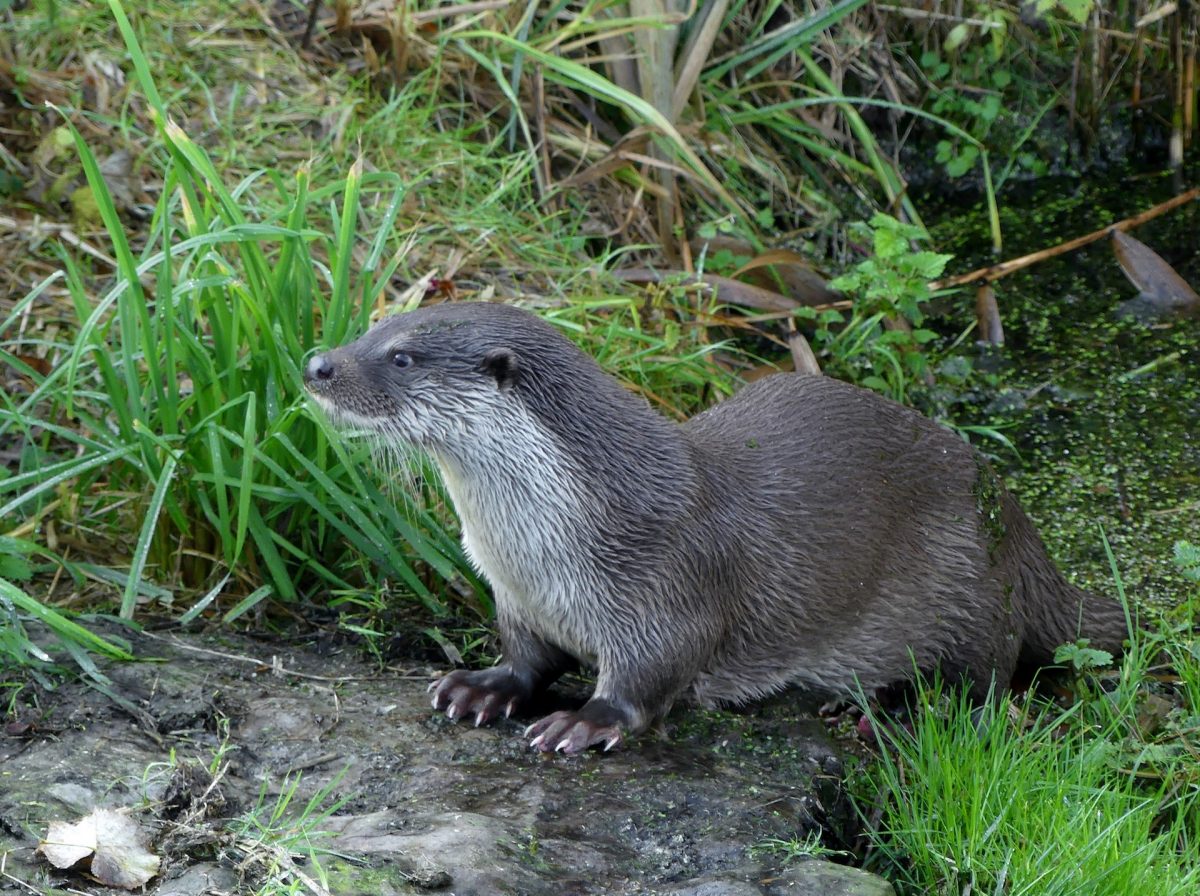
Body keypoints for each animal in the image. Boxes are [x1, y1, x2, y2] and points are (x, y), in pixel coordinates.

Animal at [304, 303, 1128, 758]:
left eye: (402, 356)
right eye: (374, 326)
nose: (316, 364)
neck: (546, 543)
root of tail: (1011, 516)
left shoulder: (669, 587)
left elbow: (651, 676)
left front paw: (585, 721)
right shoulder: (517, 597)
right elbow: (528, 658)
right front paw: (483, 687)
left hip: (967, 587)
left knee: (985, 688)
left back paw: (881, 715)